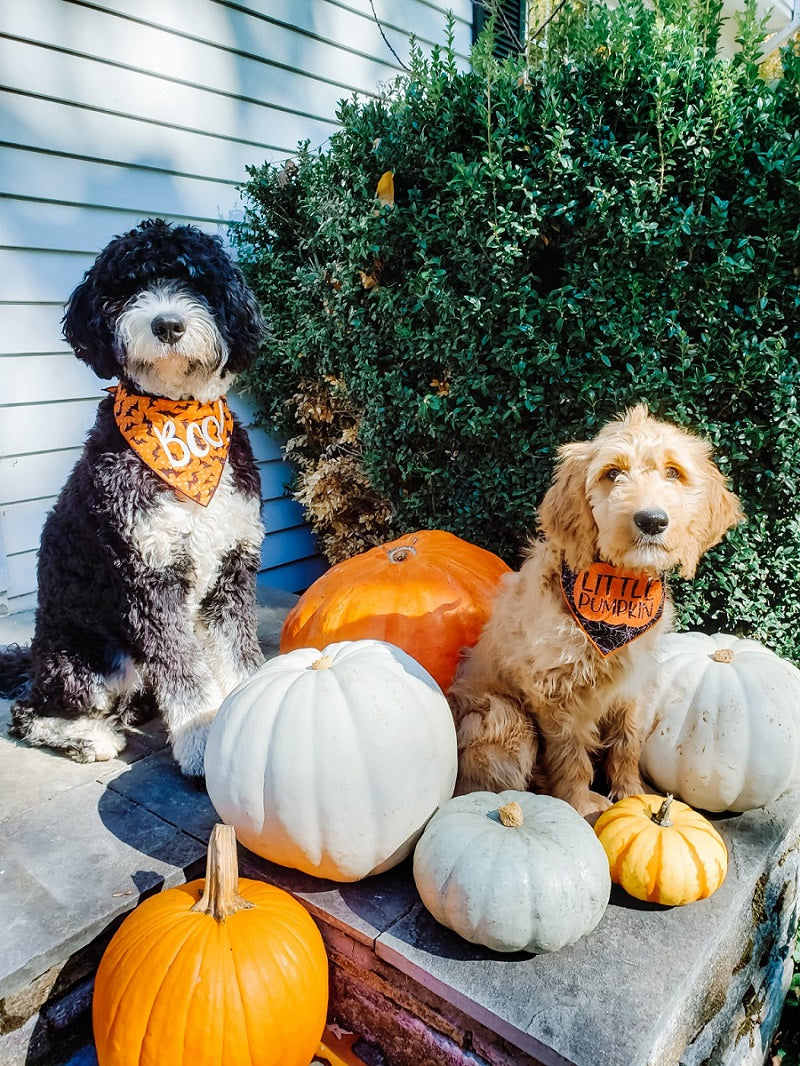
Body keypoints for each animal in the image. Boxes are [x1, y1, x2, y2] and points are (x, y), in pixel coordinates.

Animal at [2, 220, 269, 780]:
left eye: (195, 281)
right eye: (126, 289)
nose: (167, 324)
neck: (177, 422)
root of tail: (32, 657)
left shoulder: (232, 569)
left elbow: (236, 655)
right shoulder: (148, 578)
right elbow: (184, 671)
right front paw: (202, 742)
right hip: (88, 659)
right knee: (30, 711)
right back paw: (89, 738)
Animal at [452, 405, 746, 814]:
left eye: (674, 472)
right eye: (612, 473)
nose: (652, 520)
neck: (618, 590)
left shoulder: (632, 683)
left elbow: (627, 742)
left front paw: (633, 794)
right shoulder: (557, 694)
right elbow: (571, 755)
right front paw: (581, 806)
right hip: (503, 716)